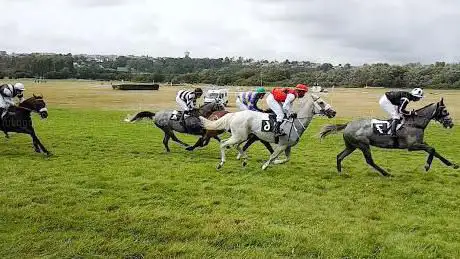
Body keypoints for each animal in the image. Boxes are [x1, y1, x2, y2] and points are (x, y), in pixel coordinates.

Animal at [199, 94, 336, 170]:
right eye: (321, 102)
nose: (334, 112)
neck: (296, 123)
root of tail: (234, 114)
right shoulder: (282, 145)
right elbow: (273, 155)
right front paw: (265, 166)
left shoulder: (287, 146)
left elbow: (287, 159)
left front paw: (276, 162)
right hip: (239, 136)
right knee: (224, 143)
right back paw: (221, 163)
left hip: (242, 136)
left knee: (233, 144)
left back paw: (244, 160)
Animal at [320, 98, 456, 178]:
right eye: (444, 111)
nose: (451, 123)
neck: (415, 123)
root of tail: (348, 124)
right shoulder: (412, 146)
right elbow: (432, 149)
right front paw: (427, 166)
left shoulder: (421, 143)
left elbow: (435, 151)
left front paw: (452, 164)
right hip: (363, 145)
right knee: (369, 161)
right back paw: (386, 173)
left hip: (352, 146)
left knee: (339, 156)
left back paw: (340, 172)